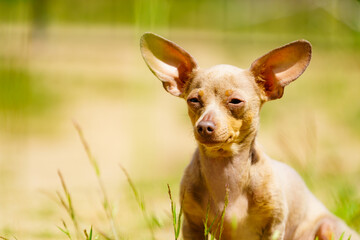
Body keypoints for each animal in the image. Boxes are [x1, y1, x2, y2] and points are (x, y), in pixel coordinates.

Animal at [139, 33, 358, 240]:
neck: (226, 169)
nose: (204, 126)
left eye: (235, 101)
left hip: (329, 227)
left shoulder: (274, 227)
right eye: (193, 100)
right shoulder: (192, 225)